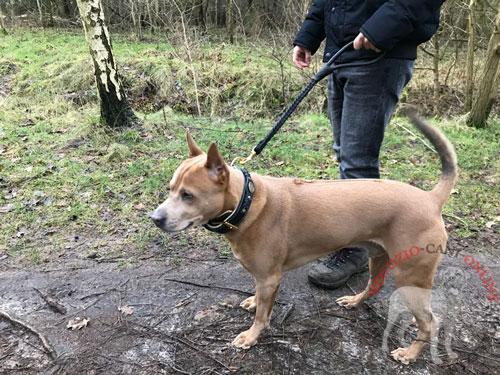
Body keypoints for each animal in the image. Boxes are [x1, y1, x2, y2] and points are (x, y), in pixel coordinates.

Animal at [151, 116, 458, 366]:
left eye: (188, 195)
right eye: (170, 189)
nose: (155, 218)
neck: (247, 203)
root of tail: (430, 199)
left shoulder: (270, 278)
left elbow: (262, 316)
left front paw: (252, 335)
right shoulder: (263, 278)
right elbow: (260, 300)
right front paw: (253, 302)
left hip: (410, 276)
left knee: (429, 323)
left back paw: (410, 353)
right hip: (379, 257)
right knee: (375, 285)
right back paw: (355, 301)